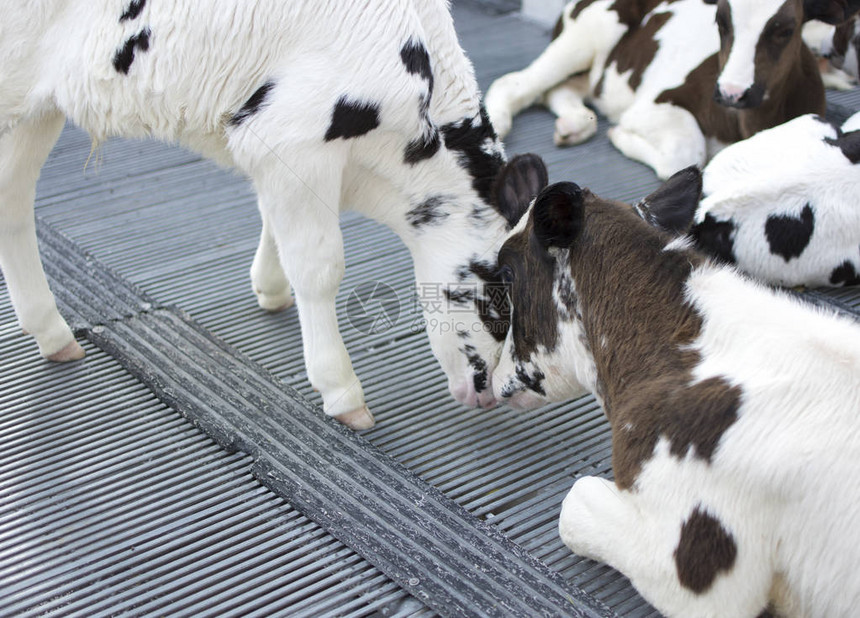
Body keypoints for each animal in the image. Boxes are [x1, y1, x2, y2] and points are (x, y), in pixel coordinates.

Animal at [0, 0, 548, 428]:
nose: (493, 392)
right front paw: (341, 390)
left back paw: (50, 331)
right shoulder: (295, 137)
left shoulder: (277, 146)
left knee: (12, 202)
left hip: (35, 109)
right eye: (497, 292)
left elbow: (274, 221)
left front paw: (270, 285)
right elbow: (320, 267)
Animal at [488, 0, 856, 178]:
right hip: (589, 34)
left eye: (785, 29)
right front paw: (620, 136)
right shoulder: (652, 106)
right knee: (517, 81)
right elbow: (686, 153)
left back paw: (574, 125)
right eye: (721, 21)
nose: (732, 93)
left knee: (562, 89)